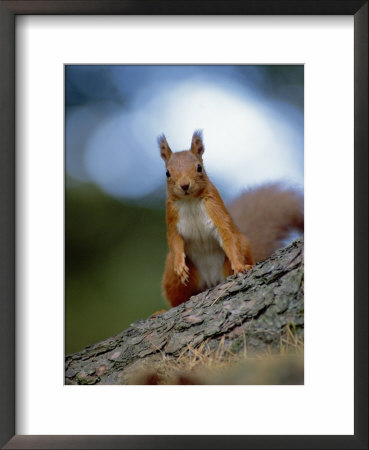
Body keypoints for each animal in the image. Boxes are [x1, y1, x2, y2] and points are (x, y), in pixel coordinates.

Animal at [158, 128, 302, 308]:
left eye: (199, 167)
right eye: (167, 173)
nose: (185, 185)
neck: (189, 200)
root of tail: (211, 281)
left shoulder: (215, 209)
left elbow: (227, 234)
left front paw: (240, 267)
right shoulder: (172, 218)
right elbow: (174, 240)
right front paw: (179, 265)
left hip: (237, 253)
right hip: (173, 276)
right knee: (178, 299)